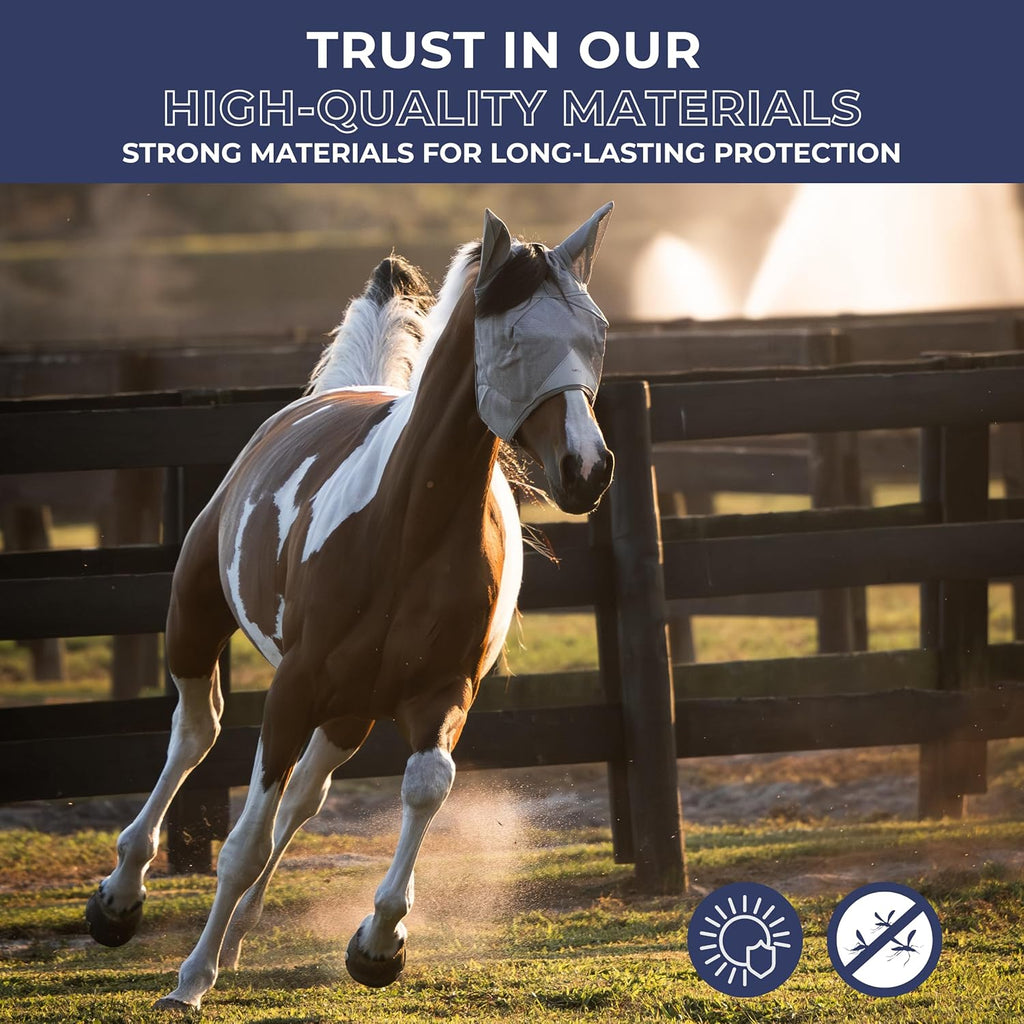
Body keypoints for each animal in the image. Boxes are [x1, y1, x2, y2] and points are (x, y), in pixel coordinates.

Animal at [84, 202, 615, 1011]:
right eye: (516, 338)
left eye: (596, 333)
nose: (589, 469)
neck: (408, 531)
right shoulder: (292, 689)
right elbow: (241, 844)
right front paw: (188, 983)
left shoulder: (440, 694)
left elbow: (425, 787)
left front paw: (379, 944)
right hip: (196, 622)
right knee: (195, 736)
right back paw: (121, 900)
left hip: (349, 711)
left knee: (303, 796)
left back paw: (235, 938)